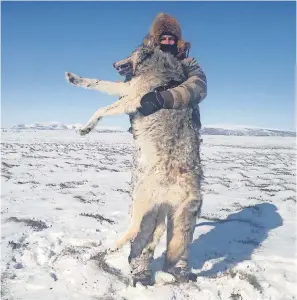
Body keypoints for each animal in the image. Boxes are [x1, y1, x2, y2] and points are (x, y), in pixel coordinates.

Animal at [65, 44, 202, 286]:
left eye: (131, 52)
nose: (113, 63)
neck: (158, 64)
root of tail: (194, 191)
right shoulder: (126, 89)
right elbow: (97, 82)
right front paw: (73, 78)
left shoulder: (133, 97)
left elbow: (101, 108)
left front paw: (86, 128)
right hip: (159, 207)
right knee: (154, 234)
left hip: (141, 195)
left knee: (135, 229)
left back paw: (110, 247)